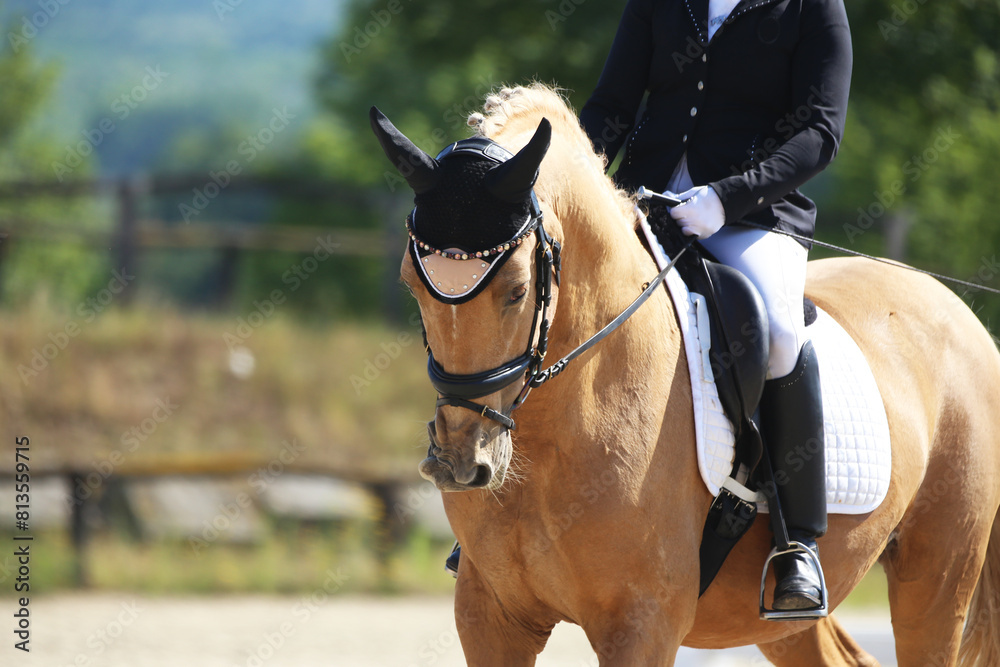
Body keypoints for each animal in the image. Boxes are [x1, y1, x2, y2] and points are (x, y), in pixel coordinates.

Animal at [375, 83, 1000, 665]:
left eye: (517, 290)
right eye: (410, 283)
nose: (460, 462)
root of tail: (958, 310)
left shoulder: (641, 626)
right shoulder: (491, 620)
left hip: (938, 576)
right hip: (778, 621)